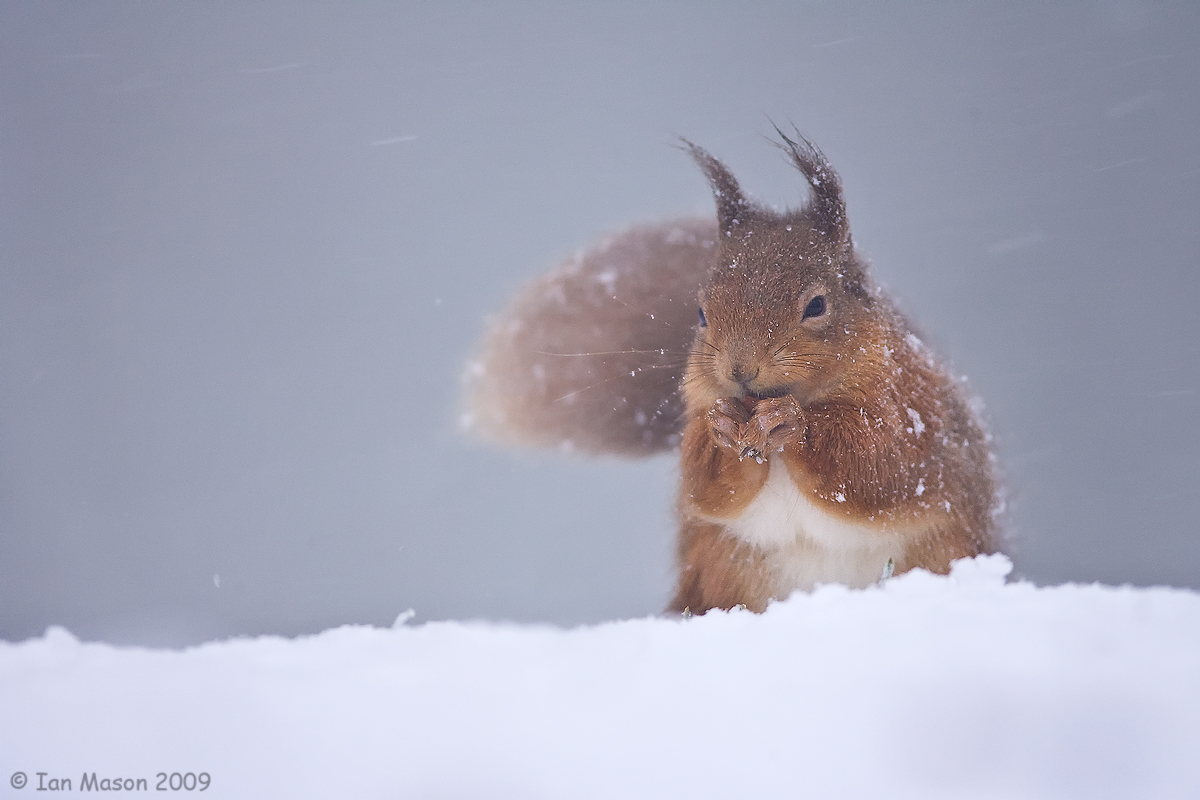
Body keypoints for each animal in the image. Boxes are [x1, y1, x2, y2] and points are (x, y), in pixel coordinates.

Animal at [463, 130, 1001, 614]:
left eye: (817, 305)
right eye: (701, 313)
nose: (739, 369)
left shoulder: (913, 408)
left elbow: (879, 466)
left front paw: (793, 424)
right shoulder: (696, 417)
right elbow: (707, 485)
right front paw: (724, 429)